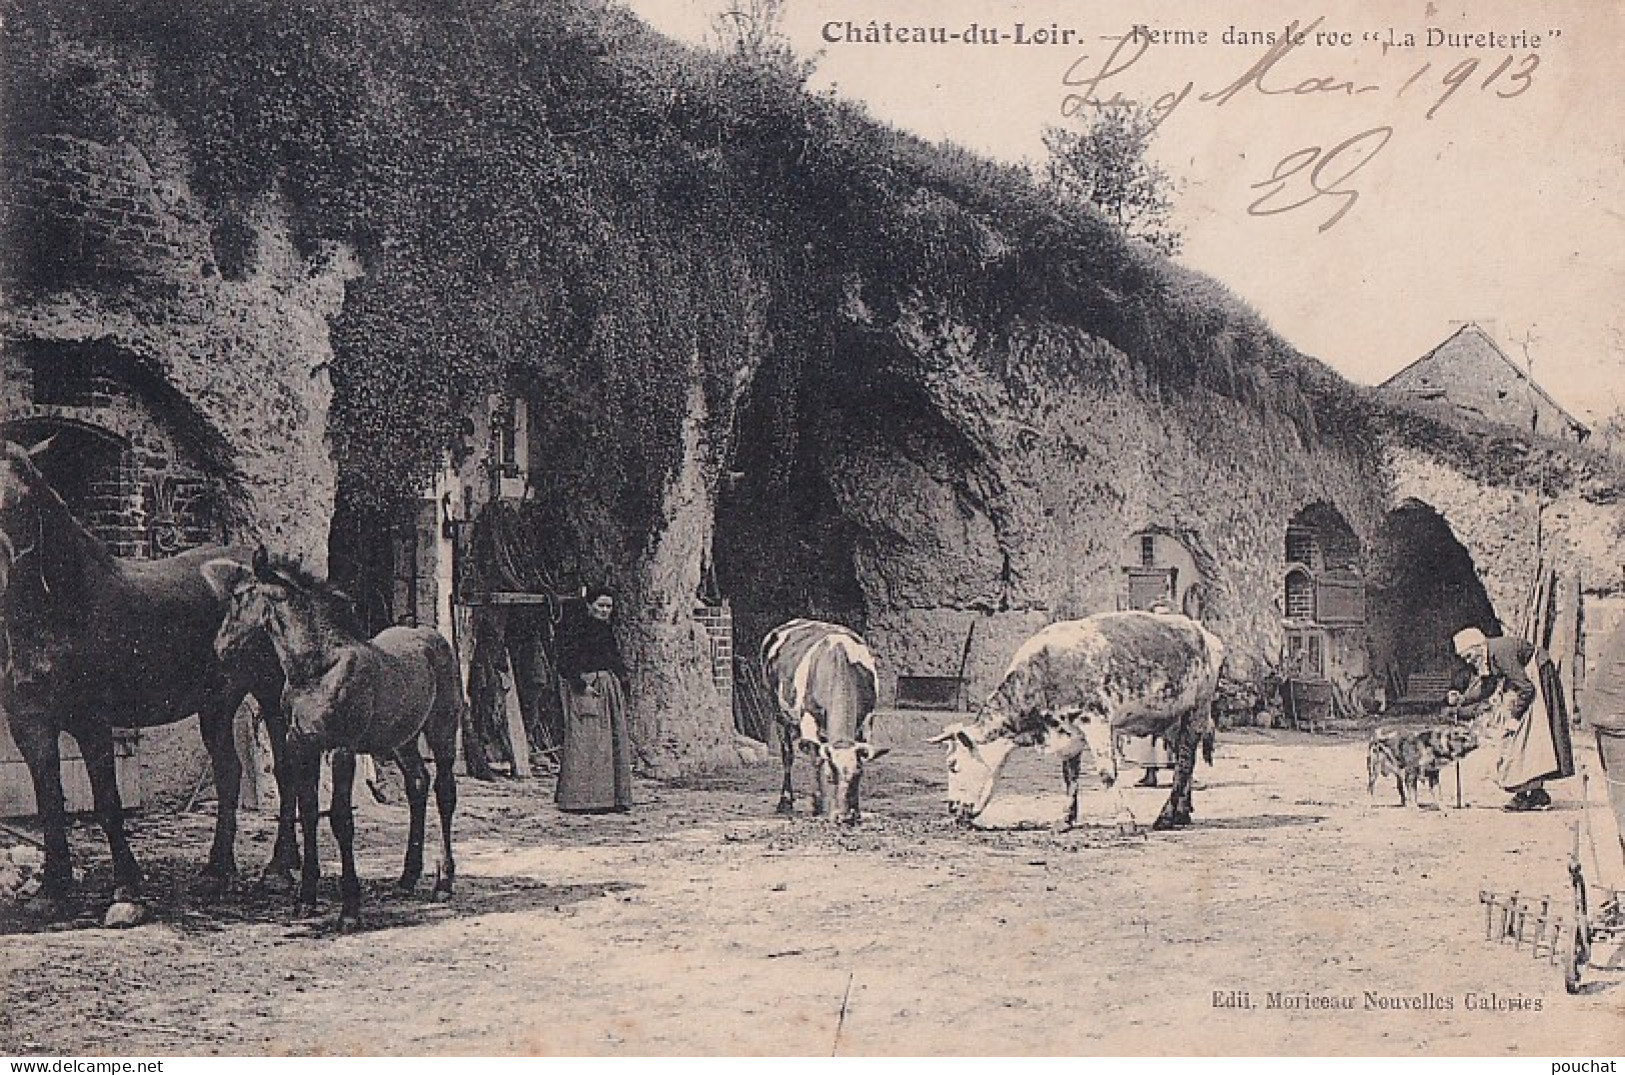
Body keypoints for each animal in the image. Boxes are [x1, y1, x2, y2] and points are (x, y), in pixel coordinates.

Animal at [0, 438, 302, 928]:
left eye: (24, 500)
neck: (61, 610)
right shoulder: (30, 724)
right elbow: (49, 801)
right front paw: (52, 891)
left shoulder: (93, 722)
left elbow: (106, 801)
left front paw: (127, 891)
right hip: (217, 702)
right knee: (228, 772)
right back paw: (217, 872)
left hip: (271, 693)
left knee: (287, 768)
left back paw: (278, 868)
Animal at [208, 548, 464, 935]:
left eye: (239, 596)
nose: (219, 648)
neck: (318, 670)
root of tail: (431, 636)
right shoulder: (302, 746)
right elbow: (309, 811)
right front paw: (305, 899)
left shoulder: (342, 750)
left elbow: (341, 820)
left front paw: (350, 910)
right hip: (400, 740)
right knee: (418, 784)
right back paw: (407, 876)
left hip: (442, 730)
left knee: (445, 792)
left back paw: (443, 882)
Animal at [760, 613, 890, 824]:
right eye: (831, 777)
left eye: (858, 775)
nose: (844, 817)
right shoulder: (808, 718)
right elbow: (816, 759)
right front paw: (817, 805)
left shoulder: (867, 721)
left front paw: (856, 811)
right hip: (777, 711)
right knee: (788, 754)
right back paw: (785, 802)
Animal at [929, 613, 1222, 831]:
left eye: (953, 765)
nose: (951, 806)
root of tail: (1202, 631)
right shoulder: (1068, 732)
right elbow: (1070, 776)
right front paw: (1066, 819)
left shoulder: (1096, 721)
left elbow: (1107, 773)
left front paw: (1125, 820)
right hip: (1173, 721)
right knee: (1184, 763)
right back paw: (1182, 813)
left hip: (1197, 711)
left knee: (1184, 763)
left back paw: (1167, 816)